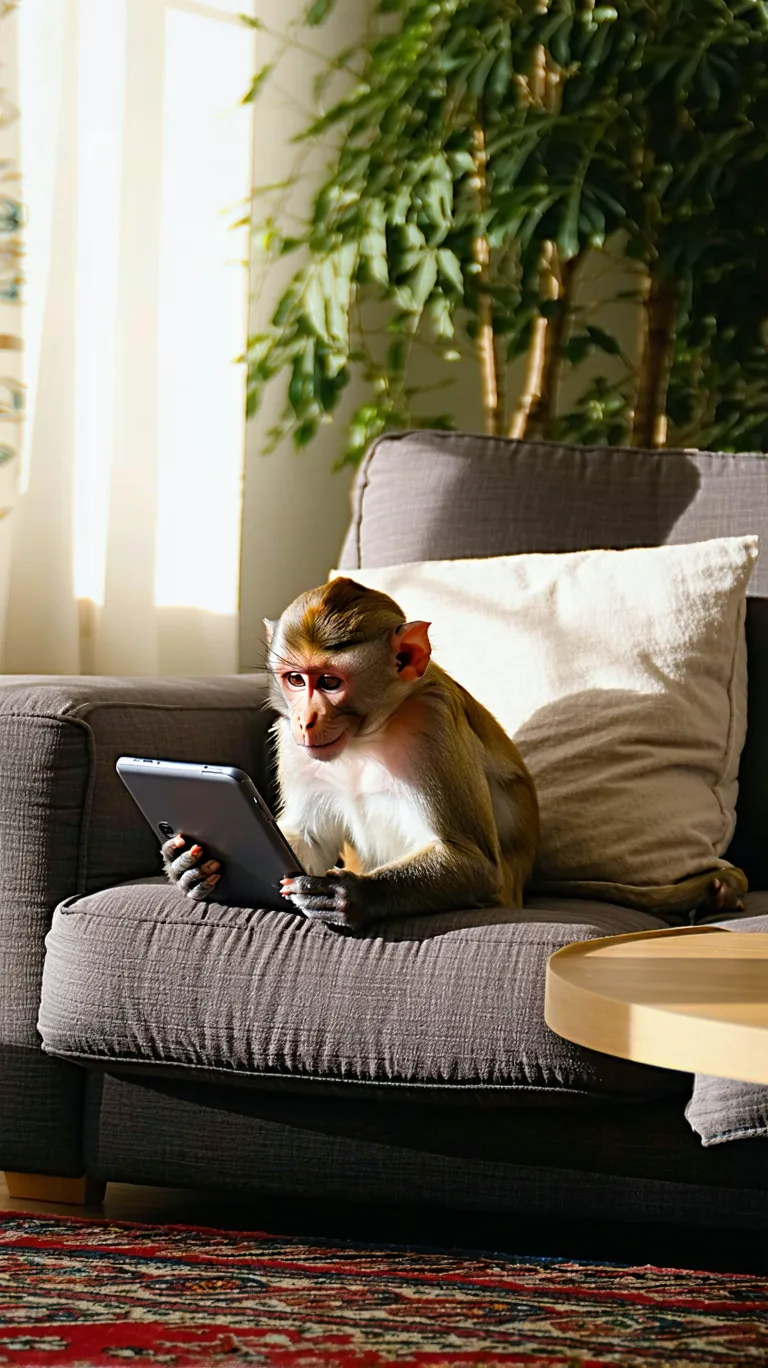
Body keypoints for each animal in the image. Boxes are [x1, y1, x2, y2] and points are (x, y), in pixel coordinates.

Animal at [160, 577, 539, 930]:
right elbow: (308, 837)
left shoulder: (434, 723)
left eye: (329, 682)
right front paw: (189, 864)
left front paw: (353, 895)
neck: (366, 737)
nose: (305, 720)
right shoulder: (291, 743)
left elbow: (475, 862)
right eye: (296, 680)